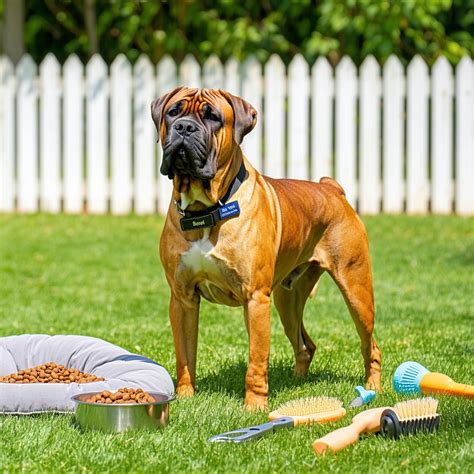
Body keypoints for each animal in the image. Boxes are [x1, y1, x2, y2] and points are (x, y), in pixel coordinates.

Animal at [152, 87, 382, 410]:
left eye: (213, 117)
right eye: (173, 112)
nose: (184, 127)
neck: (205, 208)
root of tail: (331, 188)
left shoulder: (256, 298)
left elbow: (256, 359)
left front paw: (255, 406)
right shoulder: (182, 298)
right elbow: (185, 354)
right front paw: (185, 396)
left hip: (356, 290)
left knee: (370, 345)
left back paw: (373, 387)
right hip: (288, 300)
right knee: (305, 344)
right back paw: (297, 383)